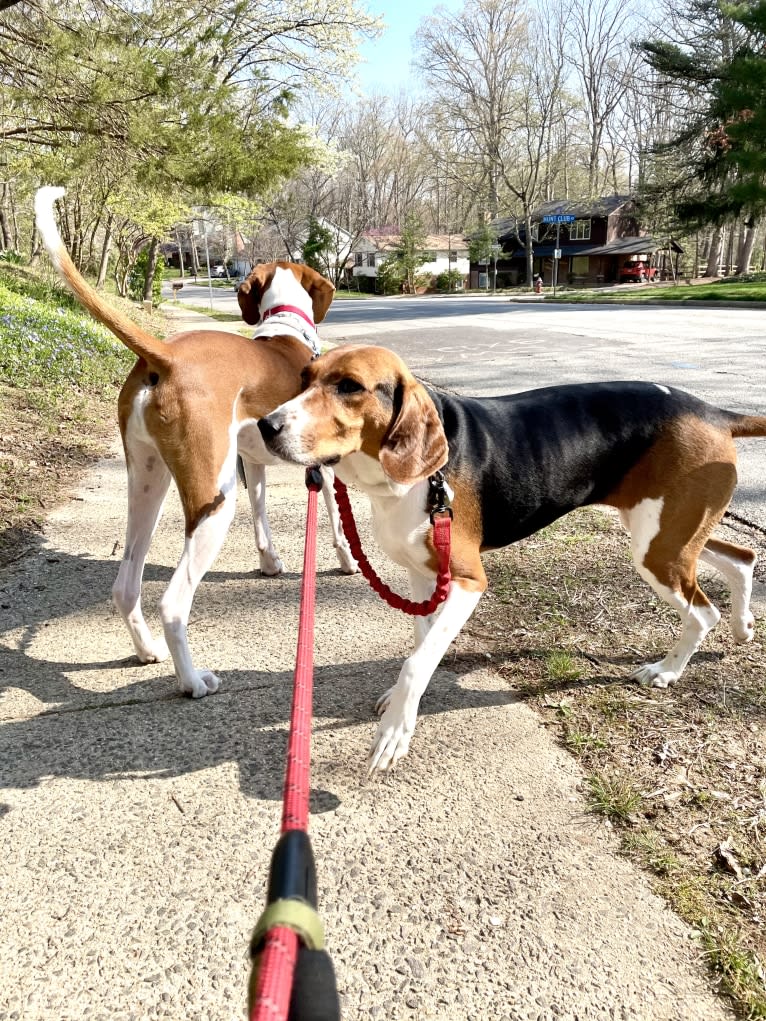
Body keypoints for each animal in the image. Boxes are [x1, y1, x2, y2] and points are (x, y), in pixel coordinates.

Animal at [30, 185, 353, 702]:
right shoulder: (323, 466)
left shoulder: (251, 464)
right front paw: (346, 563)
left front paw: (269, 563)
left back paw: (146, 651)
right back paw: (192, 680)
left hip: (149, 483)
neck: (284, 329)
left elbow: (262, 518)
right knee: (172, 603)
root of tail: (166, 356)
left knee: (126, 585)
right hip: (212, 502)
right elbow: (339, 524)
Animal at [258, 341, 766, 767]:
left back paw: (667, 671)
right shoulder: (424, 579)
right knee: (742, 557)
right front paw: (402, 704)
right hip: (667, 534)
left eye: (349, 387)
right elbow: (423, 644)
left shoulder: (467, 581)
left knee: (702, 612)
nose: (267, 425)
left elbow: (416, 660)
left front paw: (393, 734)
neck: (409, 480)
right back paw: (742, 625)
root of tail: (713, 411)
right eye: (304, 378)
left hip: (658, 548)